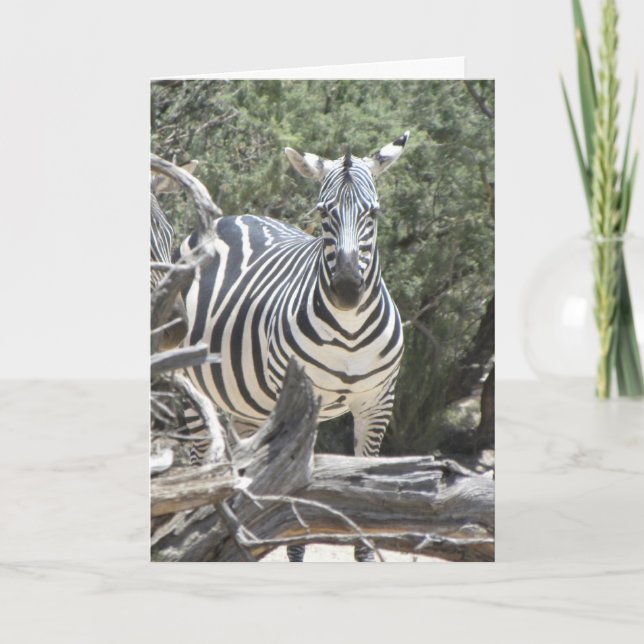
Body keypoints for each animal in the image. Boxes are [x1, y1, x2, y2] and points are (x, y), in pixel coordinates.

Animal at [180, 132, 409, 561]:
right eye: (323, 213)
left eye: (373, 214)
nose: (347, 290)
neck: (350, 332)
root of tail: (230, 217)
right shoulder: (302, 401)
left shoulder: (378, 402)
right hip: (192, 385)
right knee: (200, 460)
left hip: (247, 404)